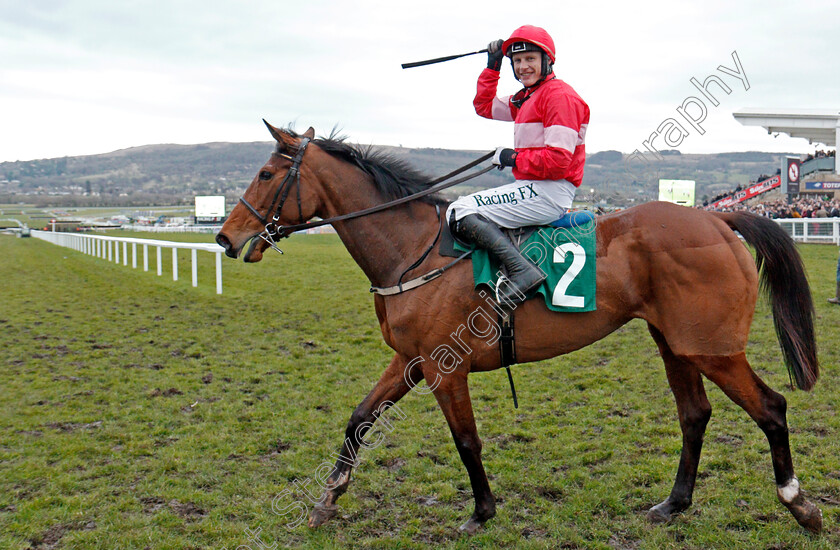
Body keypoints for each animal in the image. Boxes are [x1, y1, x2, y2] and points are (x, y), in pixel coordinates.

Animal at [215, 123, 820, 536]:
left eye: (266, 174)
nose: (224, 236)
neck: (414, 251)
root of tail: (717, 218)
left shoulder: (444, 368)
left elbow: (466, 440)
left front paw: (481, 512)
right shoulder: (410, 361)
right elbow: (359, 418)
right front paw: (327, 498)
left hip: (713, 349)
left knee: (771, 408)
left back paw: (800, 504)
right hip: (676, 345)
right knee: (694, 415)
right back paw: (674, 503)